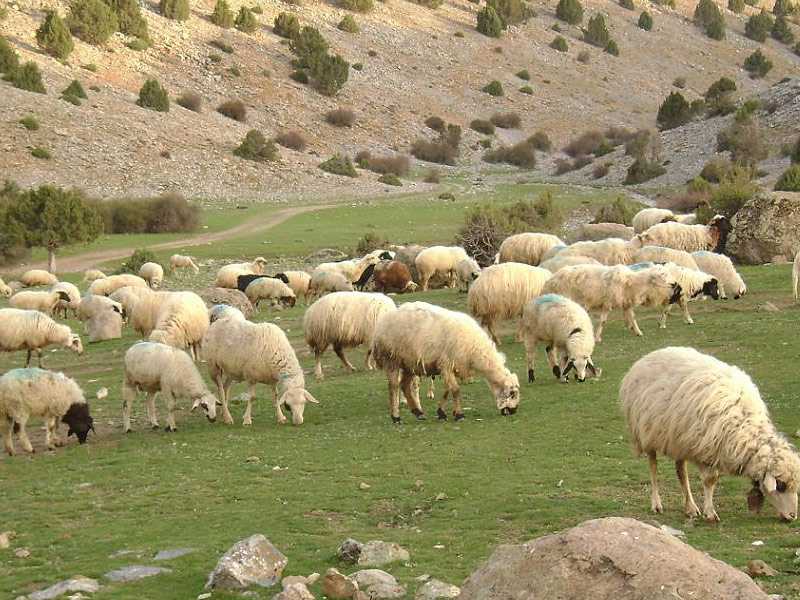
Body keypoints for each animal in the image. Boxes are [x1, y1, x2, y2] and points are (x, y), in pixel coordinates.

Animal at [368, 300, 520, 422]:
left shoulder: (449, 367)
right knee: (393, 386)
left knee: (404, 386)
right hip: (391, 359)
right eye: (512, 393)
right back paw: (396, 417)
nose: (514, 411)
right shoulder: (446, 364)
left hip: (410, 363)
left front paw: (442, 412)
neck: (477, 351)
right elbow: (456, 390)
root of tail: (382, 323)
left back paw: (418, 413)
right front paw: (459, 415)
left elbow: (448, 390)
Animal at [536, 264, 680, 342]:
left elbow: (632, 318)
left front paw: (637, 332)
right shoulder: (607, 303)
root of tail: (550, 280)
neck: (631, 283)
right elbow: (603, 321)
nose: (674, 284)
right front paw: (597, 337)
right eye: (661, 276)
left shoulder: (626, 303)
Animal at [620, 344, 800, 524]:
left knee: (681, 471)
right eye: (781, 485)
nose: (793, 516)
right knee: (653, 466)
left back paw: (690, 508)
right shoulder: (707, 449)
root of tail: (649, 356)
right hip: (646, 431)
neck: (745, 428)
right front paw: (710, 513)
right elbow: (710, 480)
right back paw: (656, 503)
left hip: (679, 438)